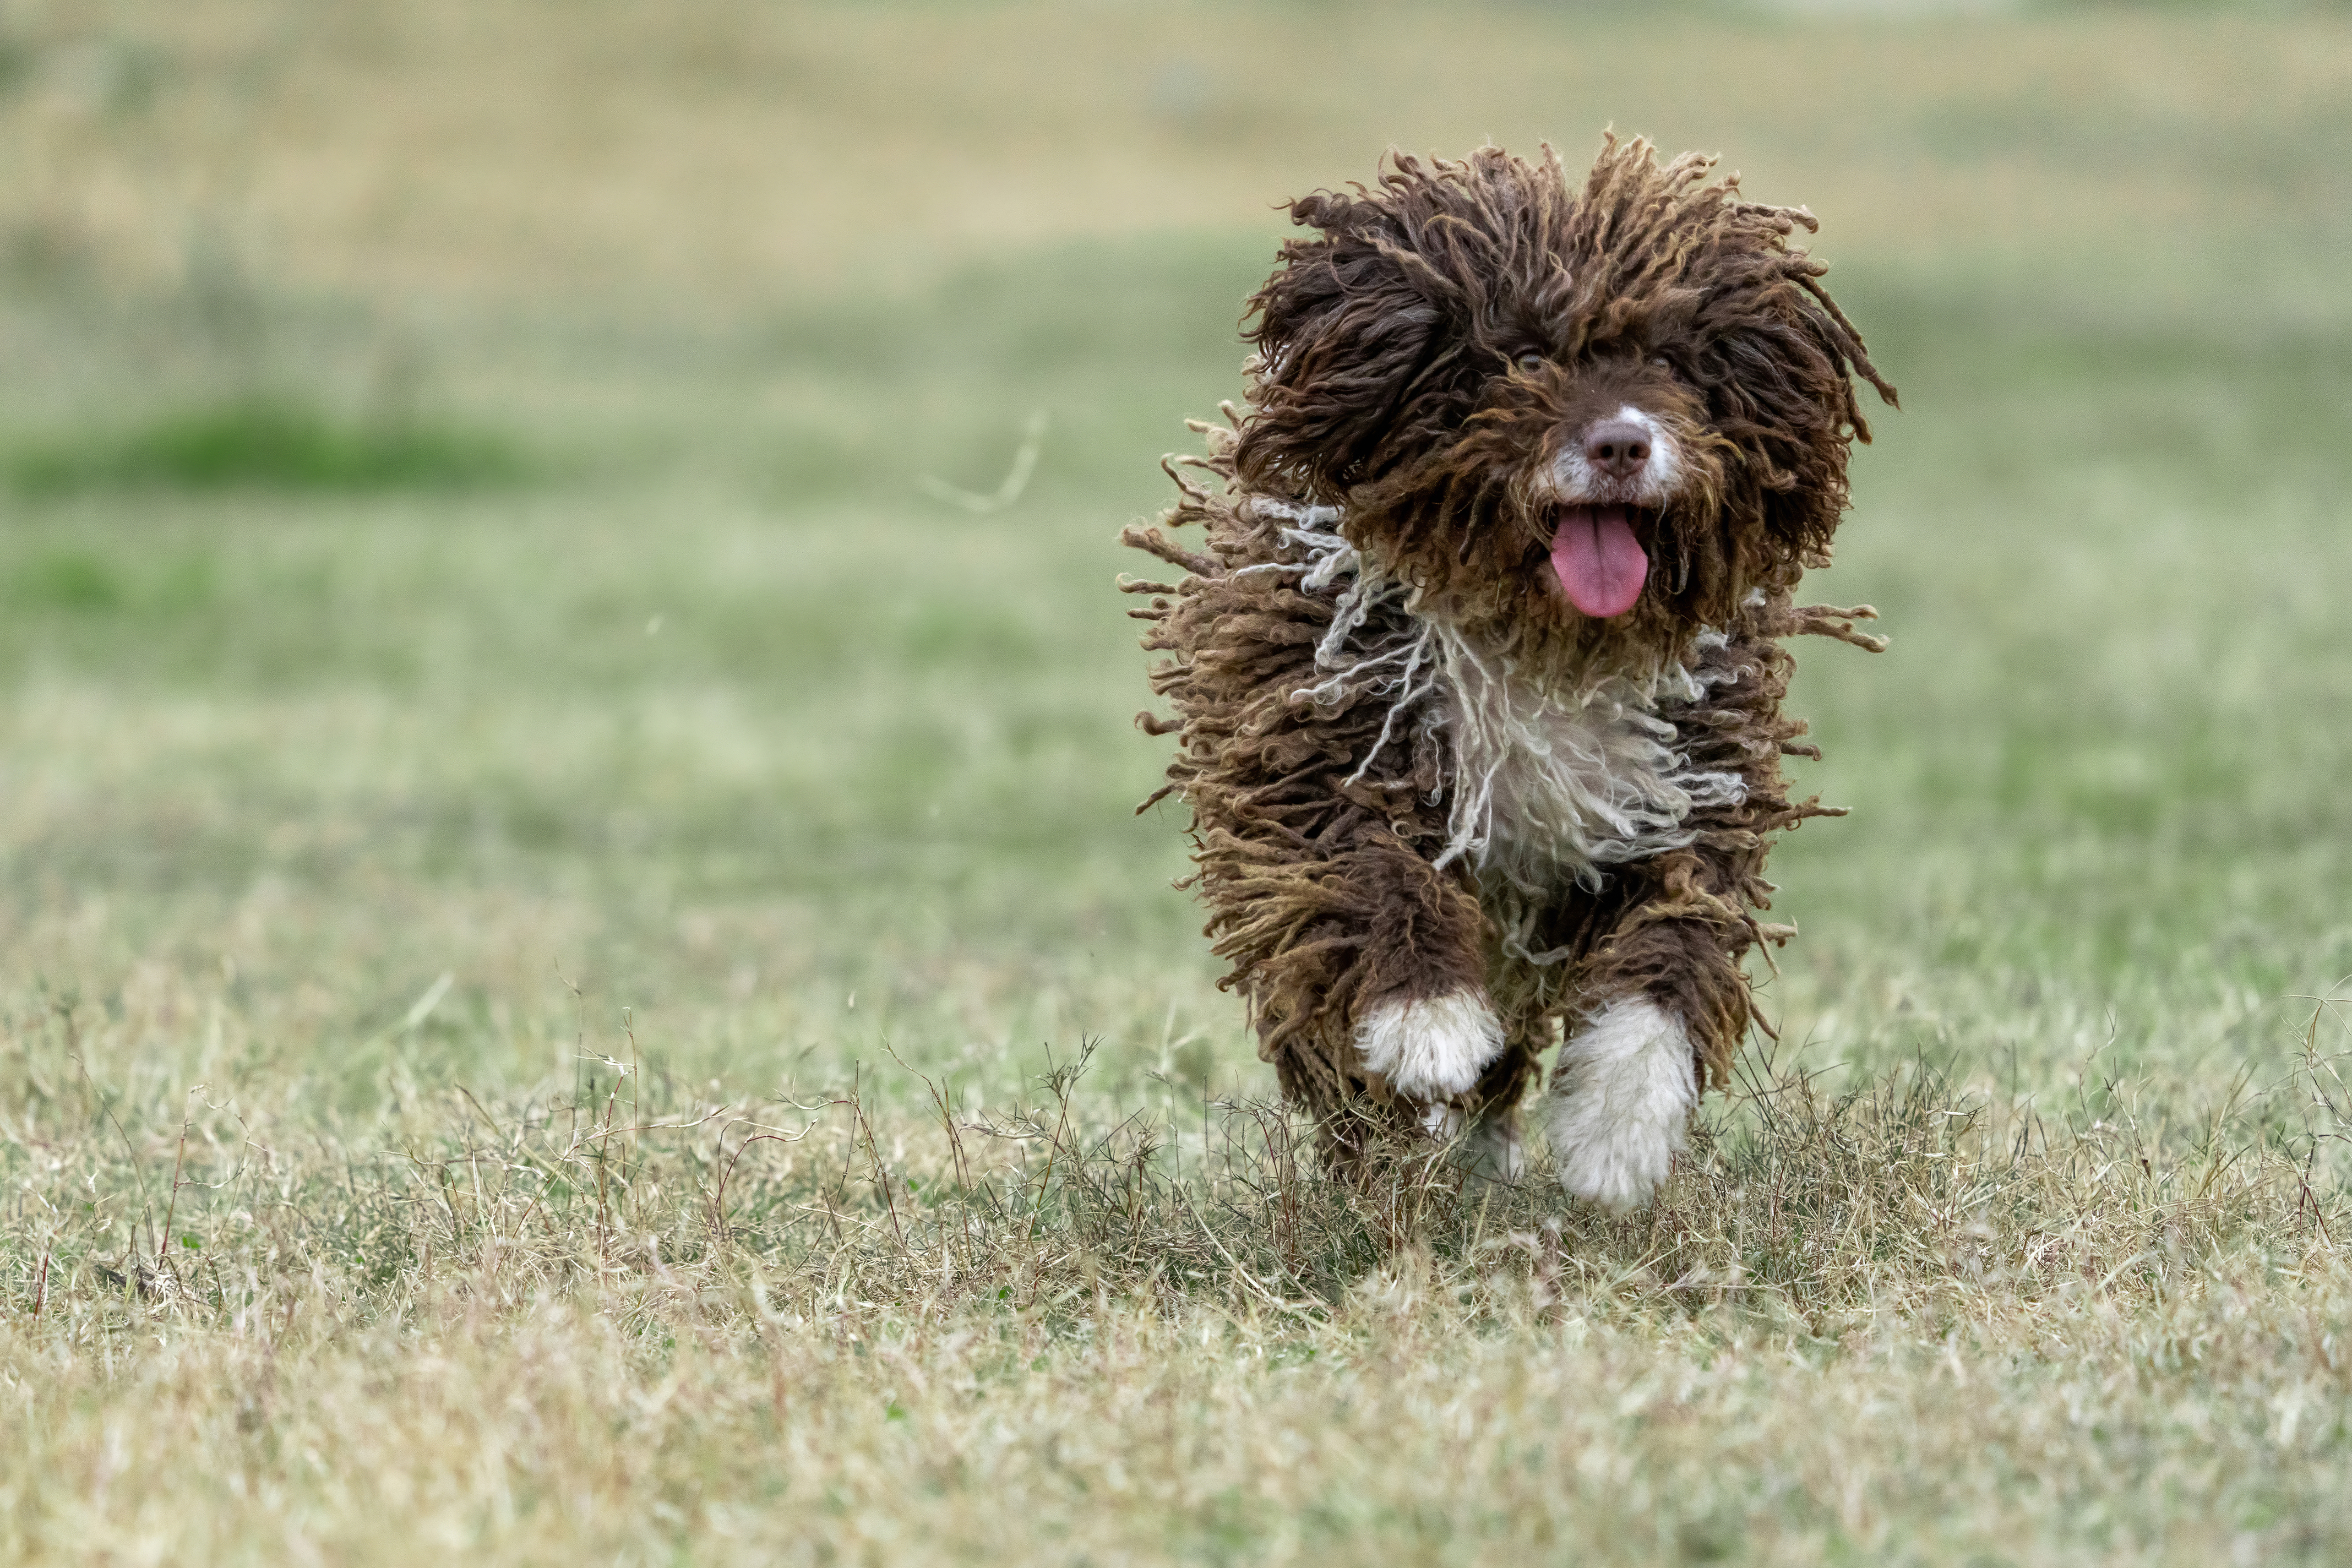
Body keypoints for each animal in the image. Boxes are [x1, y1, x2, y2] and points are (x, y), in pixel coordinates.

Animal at [1119, 141, 1891, 1213]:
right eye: (1525, 357)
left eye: (1668, 361)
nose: (1622, 441)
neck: (1544, 640)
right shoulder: (1323, 748)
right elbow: (1368, 874)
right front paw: (1427, 1023)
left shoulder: (1685, 789)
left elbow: (1671, 954)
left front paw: (1618, 1130)